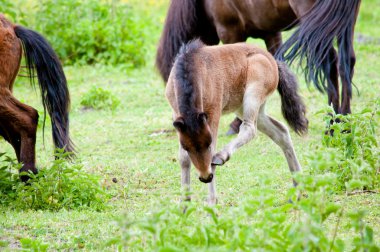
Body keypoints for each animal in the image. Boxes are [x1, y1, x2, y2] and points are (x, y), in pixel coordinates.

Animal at [157, 0, 362, 134]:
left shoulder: (229, 31)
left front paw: (236, 123)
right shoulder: (271, 32)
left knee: (331, 62)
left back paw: (332, 123)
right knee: (347, 61)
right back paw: (344, 120)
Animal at [166, 39, 308, 205]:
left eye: (207, 144)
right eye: (187, 147)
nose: (205, 177)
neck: (193, 67)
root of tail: (273, 60)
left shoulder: (213, 113)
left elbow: (212, 154)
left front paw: (211, 202)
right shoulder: (177, 117)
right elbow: (183, 159)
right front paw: (184, 203)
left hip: (252, 96)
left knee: (249, 129)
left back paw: (222, 156)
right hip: (247, 108)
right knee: (281, 132)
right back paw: (297, 190)